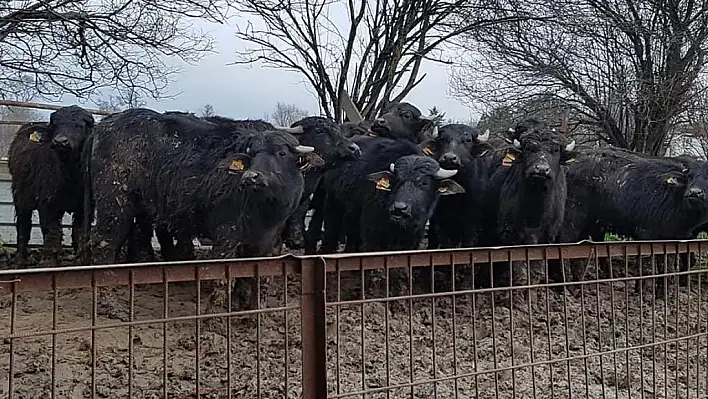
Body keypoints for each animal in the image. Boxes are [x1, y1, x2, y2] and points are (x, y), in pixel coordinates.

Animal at [8, 105, 94, 266]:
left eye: (79, 126)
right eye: (55, 125)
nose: (60, 141)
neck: (70, 176)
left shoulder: (83, 208)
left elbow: (78, 233)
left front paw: (80, 260)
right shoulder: (47, 204)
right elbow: (51, 233)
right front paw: (49, 262)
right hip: (20, 196)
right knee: (23, 226)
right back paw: (20, 260)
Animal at [81, 108, 320, 266]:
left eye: (282, 153)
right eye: (253, 154)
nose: (251, 177)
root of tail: (103, 125)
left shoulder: (266, 241)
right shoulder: (227, 233)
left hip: (144, 208)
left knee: (139, 238)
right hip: (114, 202)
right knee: (104, 241)